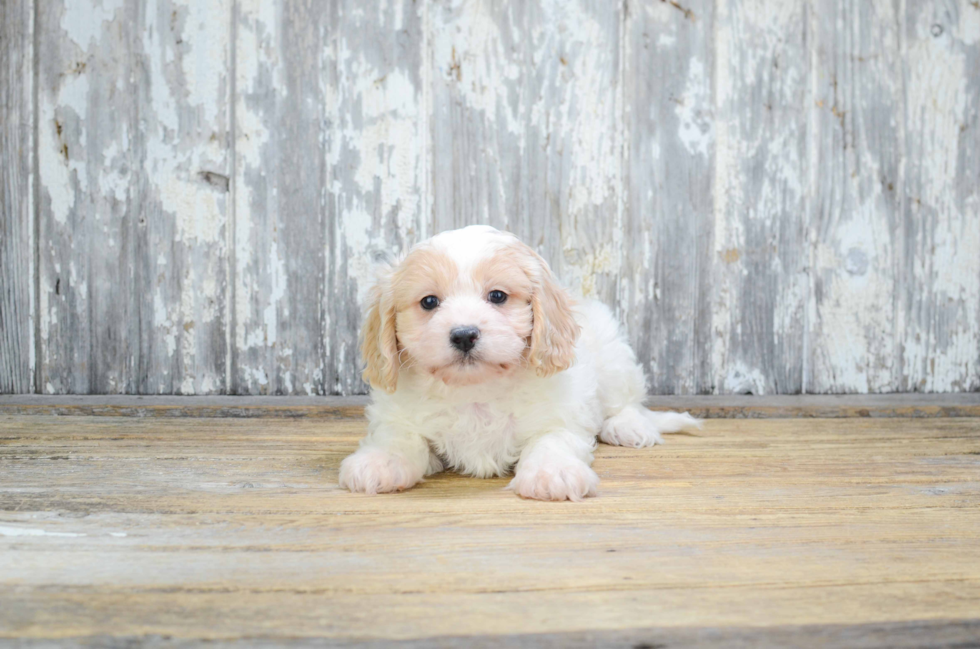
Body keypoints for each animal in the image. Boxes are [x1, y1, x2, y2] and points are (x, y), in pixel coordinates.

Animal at [340, 224, 700, 502]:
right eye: (429, 302)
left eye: (498, 296)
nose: (464, 335)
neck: (475, 390)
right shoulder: (398, 414)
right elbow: (399, 436)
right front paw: (379, 461)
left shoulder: (562, 414)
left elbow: (552, 440)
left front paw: (552, 473)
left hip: (614, 360)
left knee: (626, 402)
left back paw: (628, 426)